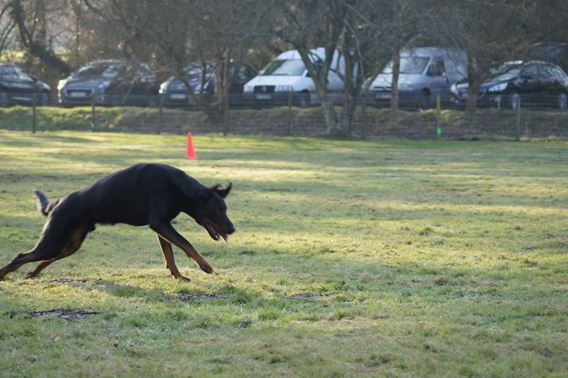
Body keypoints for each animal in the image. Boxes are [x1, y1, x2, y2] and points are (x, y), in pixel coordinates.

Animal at [0, 162, 235, 280]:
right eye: (217, 210)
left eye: (225, 209)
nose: (233, 229)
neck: (177, 186)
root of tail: (57, 203)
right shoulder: (160, 224)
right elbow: (187, 244)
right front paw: (205, 266)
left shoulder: (161, 227)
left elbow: (169, 255)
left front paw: (178, 276)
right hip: (53, 241)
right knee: (21, 257)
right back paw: (4, 275)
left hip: (69, 244)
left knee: (45, 259)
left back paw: (32, 273)